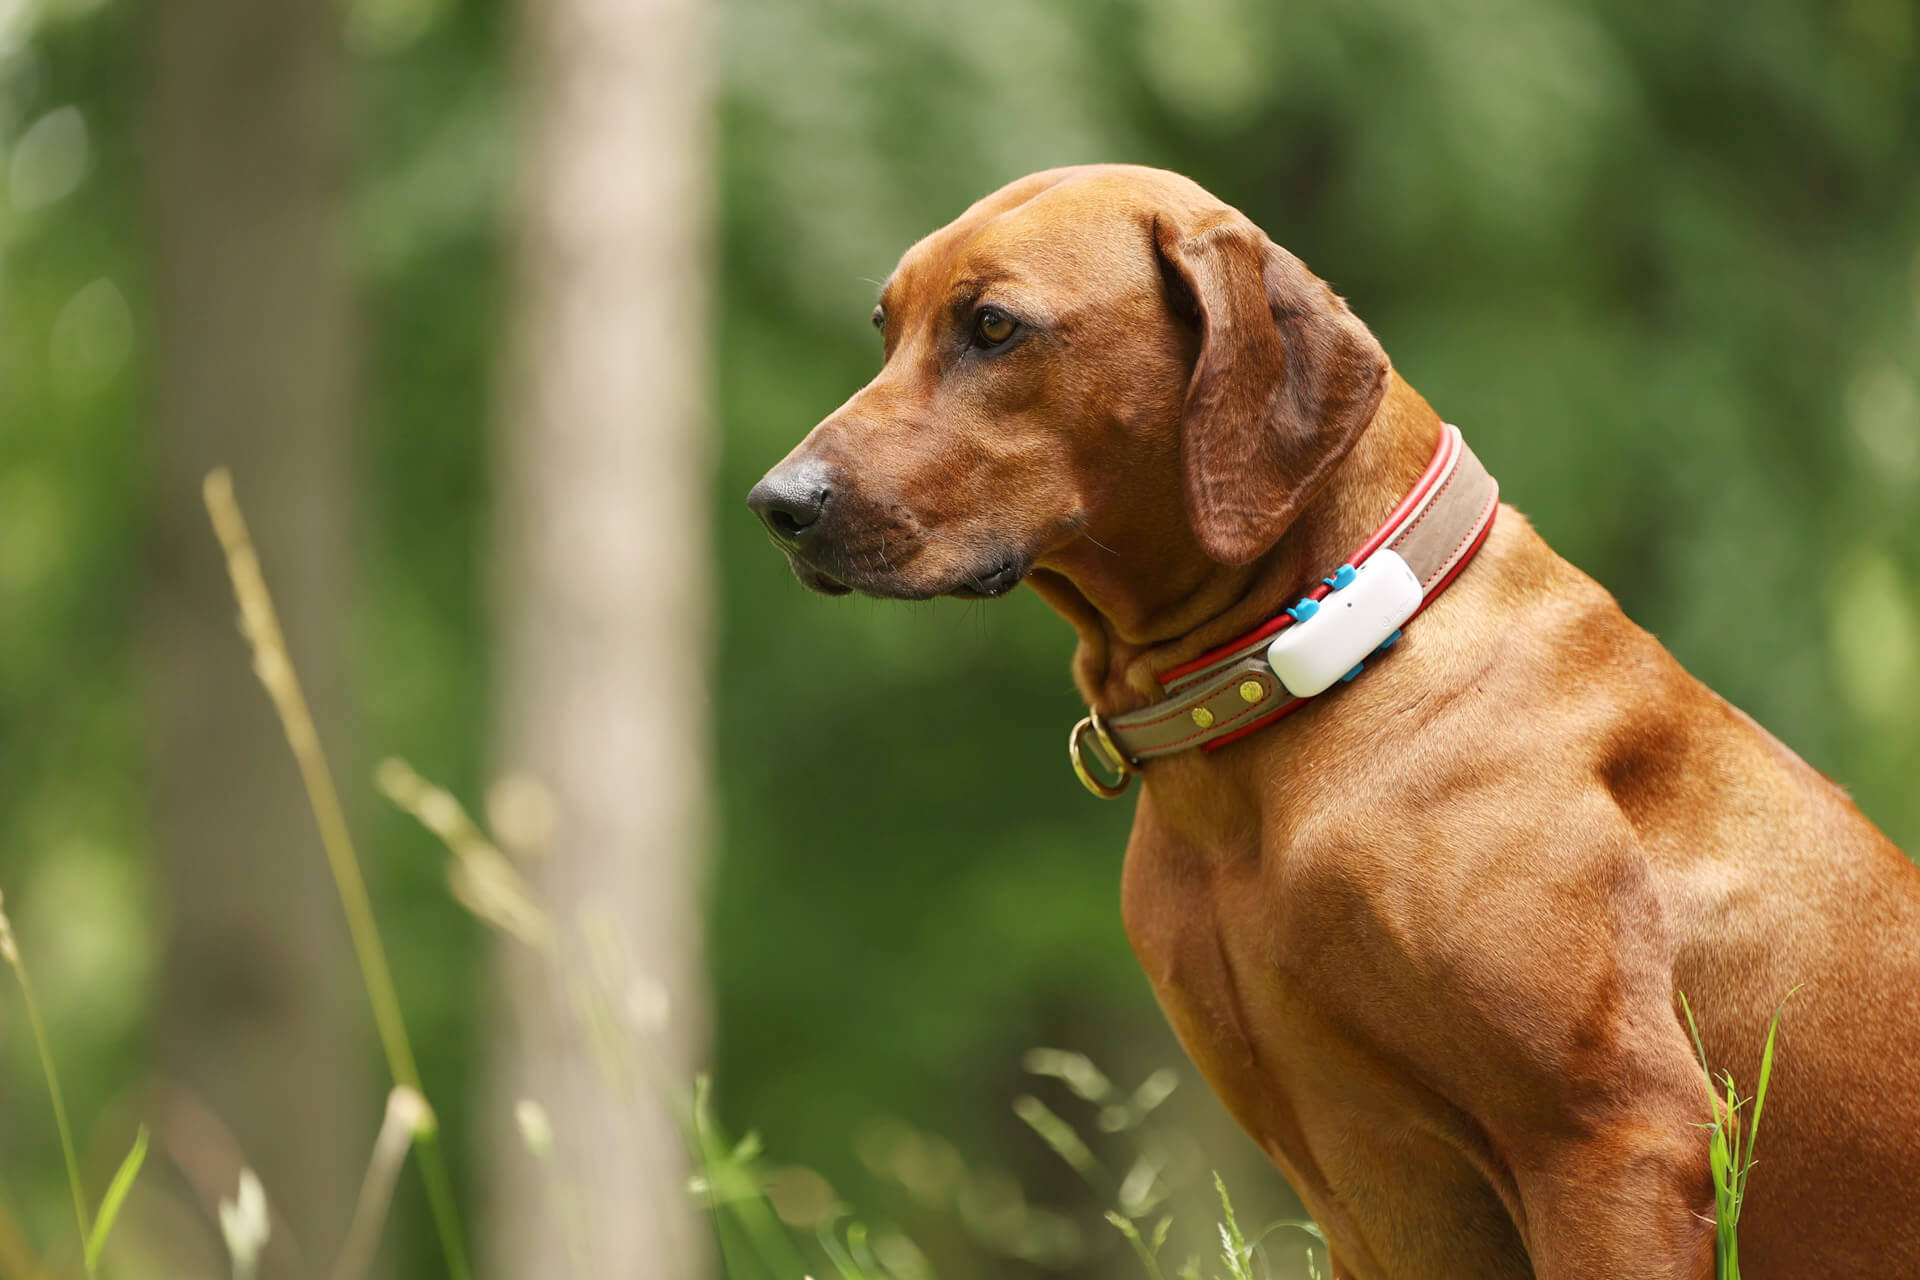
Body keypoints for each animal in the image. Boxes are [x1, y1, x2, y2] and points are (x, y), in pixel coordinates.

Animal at [744, 165, 1920, 1274]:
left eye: (994, 327)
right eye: (885, 327)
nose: (777, 505)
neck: (1322, 659)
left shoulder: (1618, 1136)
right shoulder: (1372, 1196)